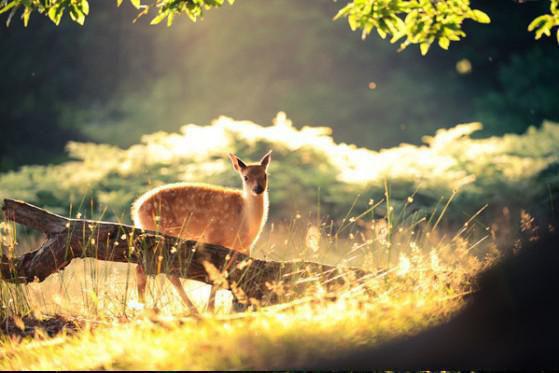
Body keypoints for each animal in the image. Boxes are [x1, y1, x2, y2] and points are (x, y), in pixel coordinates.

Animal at [131, 150, 272, 316]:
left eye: (265, 175)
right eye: (246, 177)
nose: (258, 189)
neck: (246, 219)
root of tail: (136, 209)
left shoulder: (244, 248)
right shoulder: (214, 237)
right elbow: (215, 277)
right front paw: (211, 309)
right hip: (161, 231)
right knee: (151, 270)